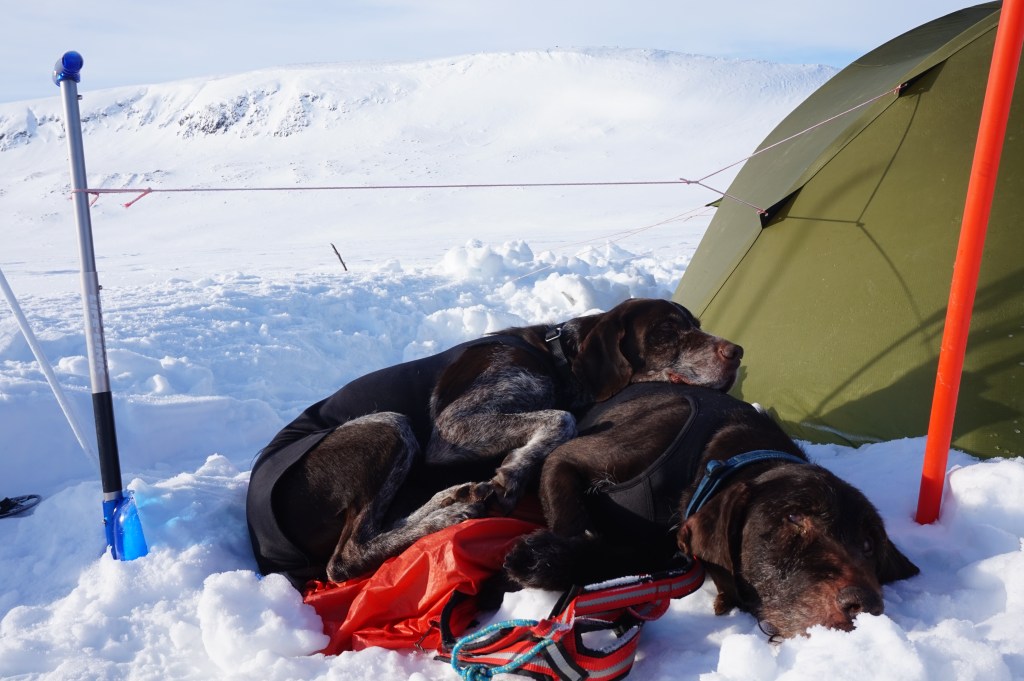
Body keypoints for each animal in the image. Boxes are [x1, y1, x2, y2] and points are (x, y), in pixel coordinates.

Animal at [246, 298, 743, 588]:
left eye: (697, 324)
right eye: (666, 331)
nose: (737, 352)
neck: (556, 359)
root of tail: (259, 539)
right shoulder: (452, 427)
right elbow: (561, 418)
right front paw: (515, 472)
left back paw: (452, 499)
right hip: (389, 424)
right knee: (347, 558)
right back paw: (454, 512)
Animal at [503, 382, 920, 638]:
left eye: (868, 545)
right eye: (794, 518)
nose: (865, 606)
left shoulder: (666, 544)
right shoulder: (565, 458)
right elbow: (571, 522)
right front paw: (545, 555)